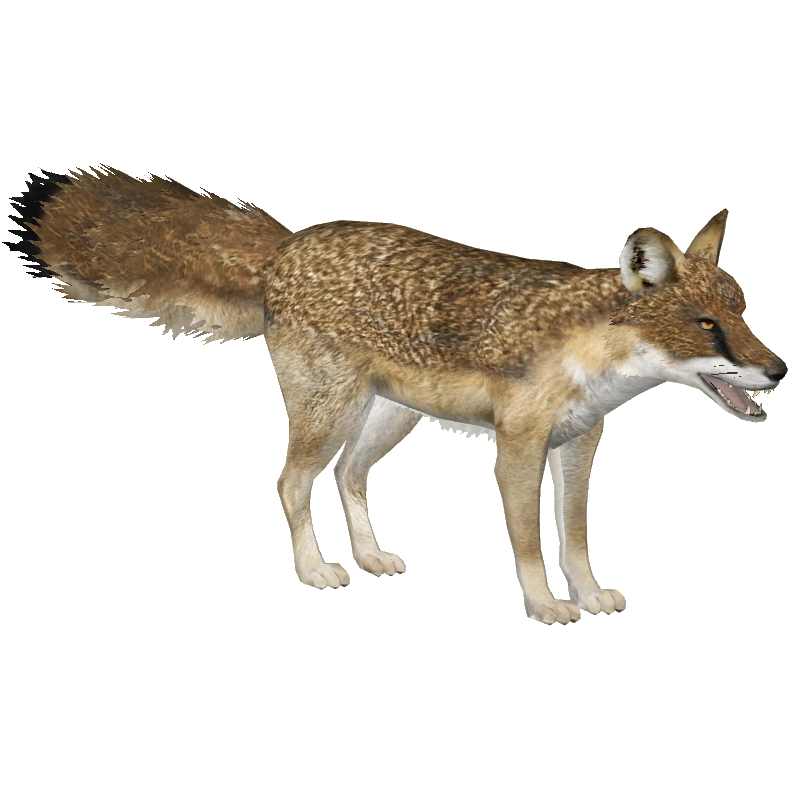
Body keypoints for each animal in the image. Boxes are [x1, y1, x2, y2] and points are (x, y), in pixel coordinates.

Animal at [5, 164, 786, 625]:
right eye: (707, 325)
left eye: (745, 311)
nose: (779, 370)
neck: (587, 347)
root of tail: (292, 242)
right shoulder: (519, 446)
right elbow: (531, 544)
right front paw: (545, 606)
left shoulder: (580, 443)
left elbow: (578, 536)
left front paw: (591, 596)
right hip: (332, 412)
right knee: (290, 483)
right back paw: (317, 571)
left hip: (386, 422)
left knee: (347, 478)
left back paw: (371, 556)